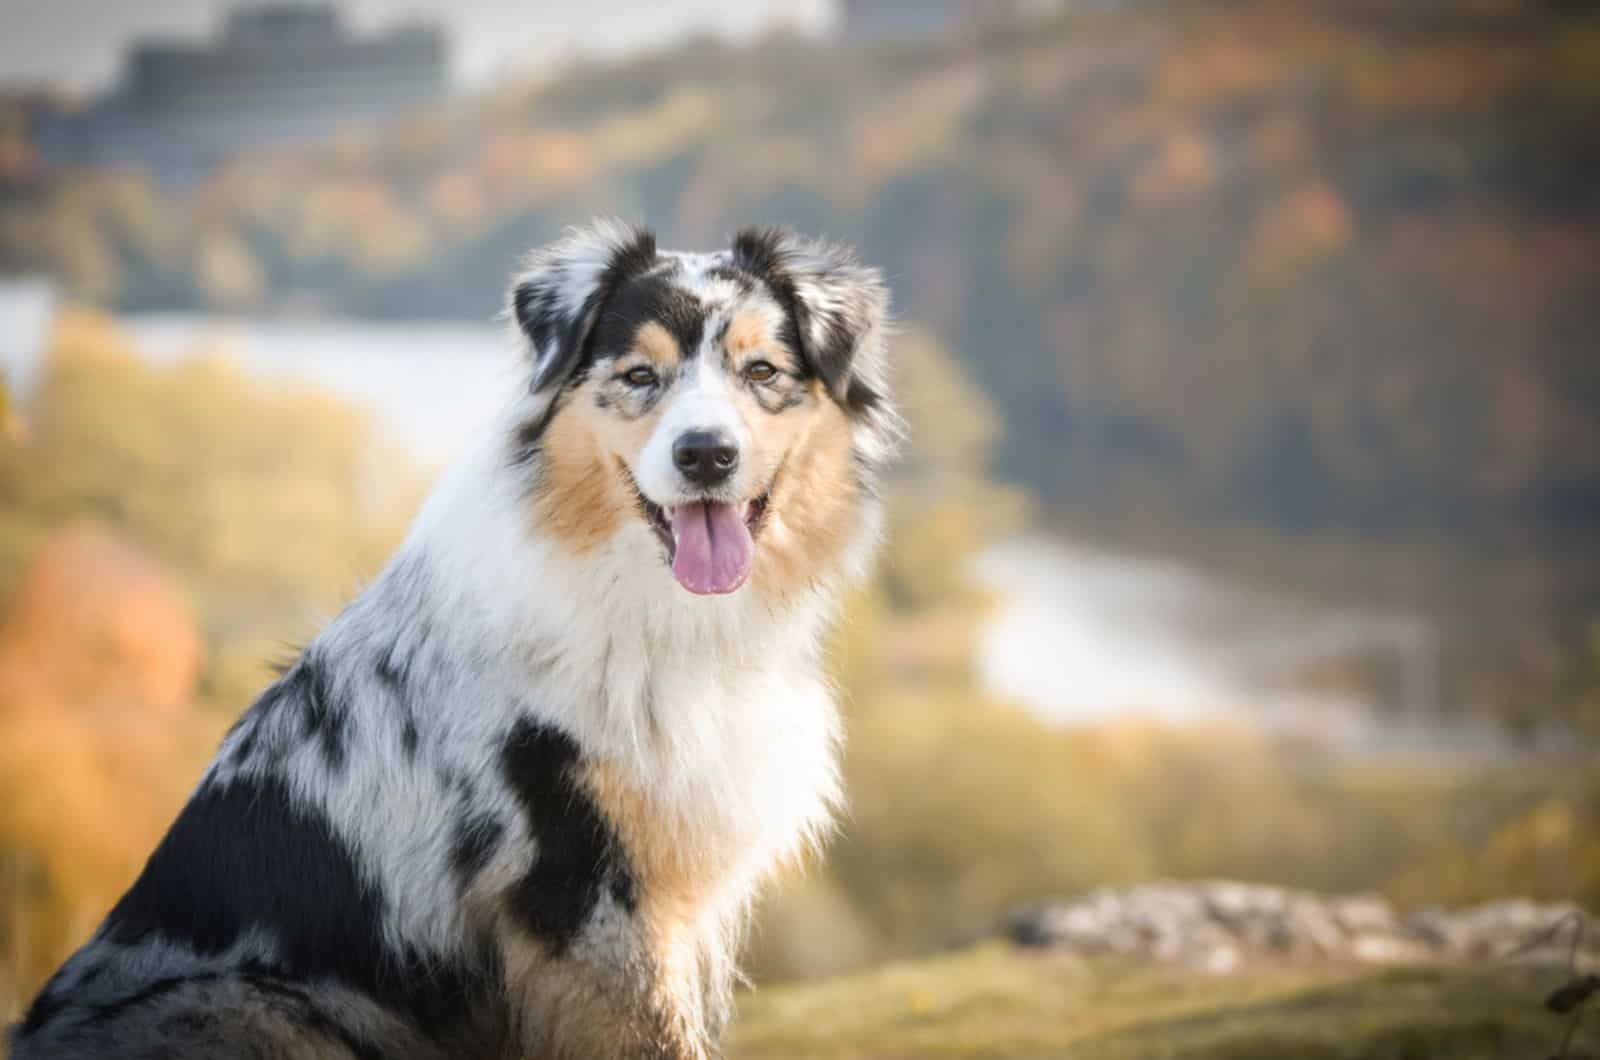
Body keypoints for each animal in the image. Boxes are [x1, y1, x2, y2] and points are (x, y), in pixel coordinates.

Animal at [9, 224, 902, 1060]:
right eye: (639, 377)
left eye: (763, 373)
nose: (706, 454)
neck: (658, 610)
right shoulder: (584, 896)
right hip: (256, 1004)